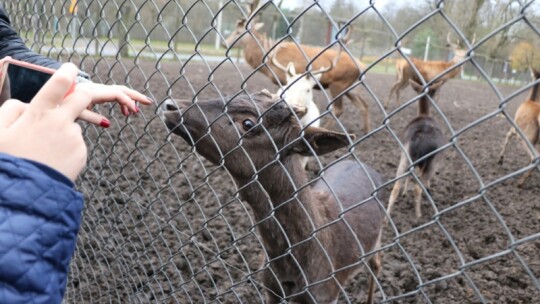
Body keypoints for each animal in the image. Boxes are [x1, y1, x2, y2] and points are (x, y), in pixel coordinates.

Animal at [224, 2, 372, 133]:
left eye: (238, 32)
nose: (224, 43)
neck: (267, 61)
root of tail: (361, 65)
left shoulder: (283, 78)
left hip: (339, 84)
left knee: (338, 109)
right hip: (351, 87)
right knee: (363, 105)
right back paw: (365, 130)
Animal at [388, 79, 448, 220]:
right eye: (434, 92)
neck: (424, 113)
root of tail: (420, 142)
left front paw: (405, 192)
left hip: (405, 155)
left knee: (396, 187)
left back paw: (386, 219)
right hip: (433, 162)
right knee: (418, 187)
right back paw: (418, 216)